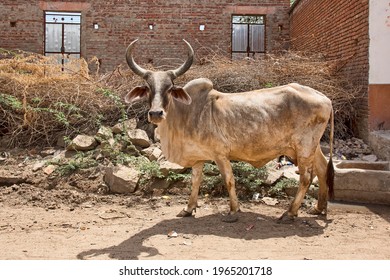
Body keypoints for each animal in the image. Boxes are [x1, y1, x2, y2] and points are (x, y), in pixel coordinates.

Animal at [125, 40, 336, 223]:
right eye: (148, 88)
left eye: (169, 88)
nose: (156, 113)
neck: (186, 113)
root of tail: (324, 97)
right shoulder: (198, 157)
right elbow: (195, 182)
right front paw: (188, 209)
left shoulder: (220, 154)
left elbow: (229, 180)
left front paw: (234, 210)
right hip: (312, 147)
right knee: (322, 169)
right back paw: (318, 208)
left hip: (304, 147)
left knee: (306, 178)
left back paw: (290, 213)